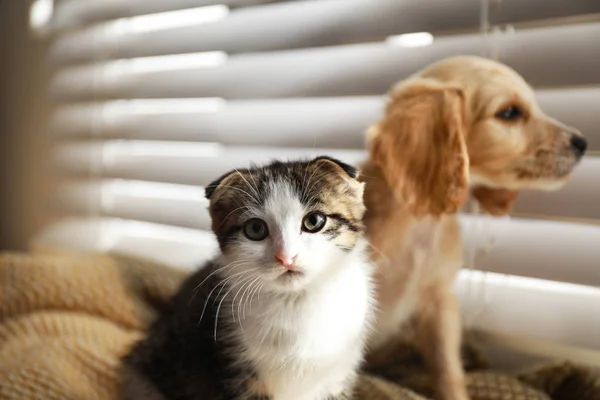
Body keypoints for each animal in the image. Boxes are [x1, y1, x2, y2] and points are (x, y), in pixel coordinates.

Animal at [120, 156, 376, 400]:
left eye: (314, 221)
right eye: (255, 229)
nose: (286, 257)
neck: (295, 300)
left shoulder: (338, 374)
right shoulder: (236, 369)